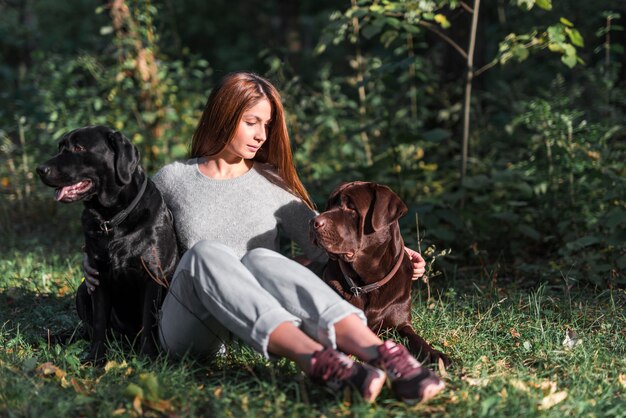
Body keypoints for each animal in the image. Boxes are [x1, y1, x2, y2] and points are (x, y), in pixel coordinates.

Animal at [37, 125, 176, 362]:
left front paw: (148, 357)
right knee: (91, 328)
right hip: (83, 290)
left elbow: (149, 322)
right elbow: (100, 322)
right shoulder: (98, 276)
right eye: (60, 147)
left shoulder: (152, 276)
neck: (111, 219)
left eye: (79, 147)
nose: (40, 169)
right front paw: (95, 358)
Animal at [310, 182, 448, 366]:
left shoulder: (401, 324)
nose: (313, 222)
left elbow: (417, 340)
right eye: (329, 205)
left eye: (351, 208)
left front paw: (436, 356)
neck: (367, 283)